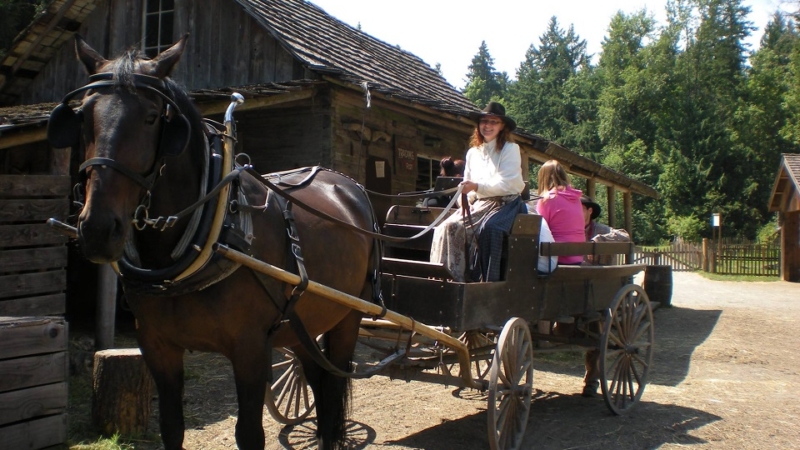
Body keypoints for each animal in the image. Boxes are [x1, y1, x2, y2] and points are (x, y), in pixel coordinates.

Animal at [52, 35, 378, 450]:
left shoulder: (251, 350)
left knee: (333, 385)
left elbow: (249, 434)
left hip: (349, 315)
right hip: (302, 321)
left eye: (152, 117)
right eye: (83, 116)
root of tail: (348, 185)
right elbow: (171, 427)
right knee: (318, 384)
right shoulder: (157, 348)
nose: (96, 228)